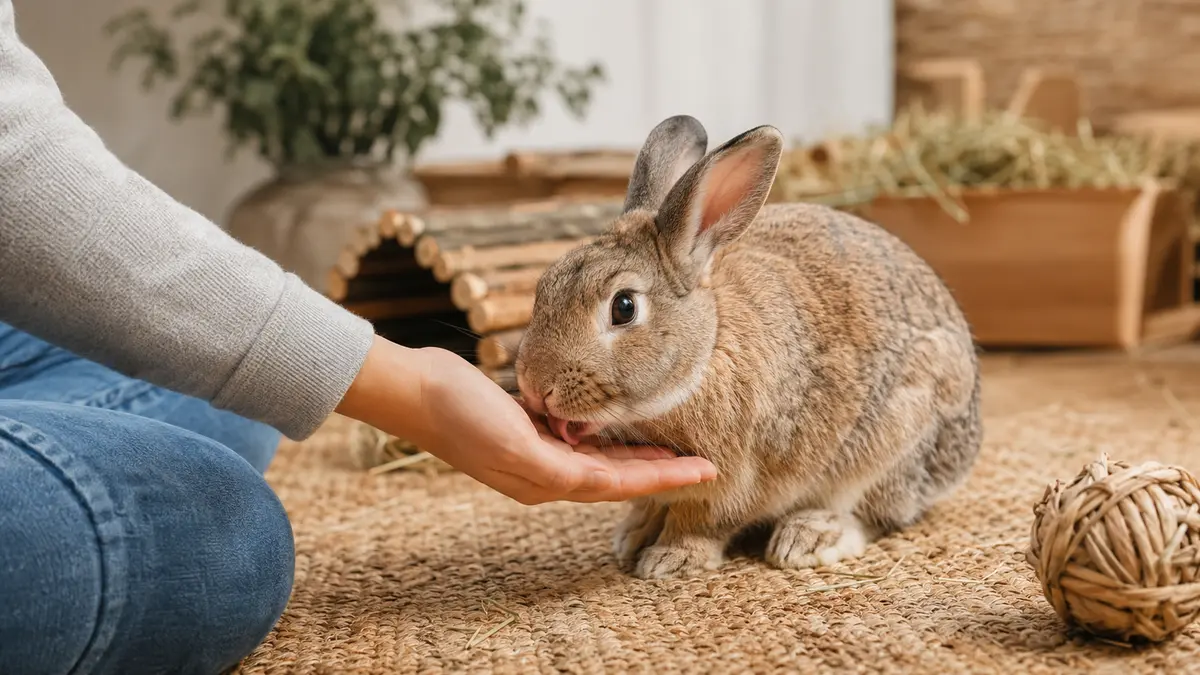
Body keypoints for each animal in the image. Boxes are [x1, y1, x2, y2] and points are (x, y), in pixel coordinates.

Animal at [515, 114, 982, 579]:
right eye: (545, 285)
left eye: (624, 307)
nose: (536, 387)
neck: (706, 351)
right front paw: (632, 535)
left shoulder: (733, 483)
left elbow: (700, 522)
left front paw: (671, 559)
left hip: (895, 439)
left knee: (876, 511)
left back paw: (808, 537)